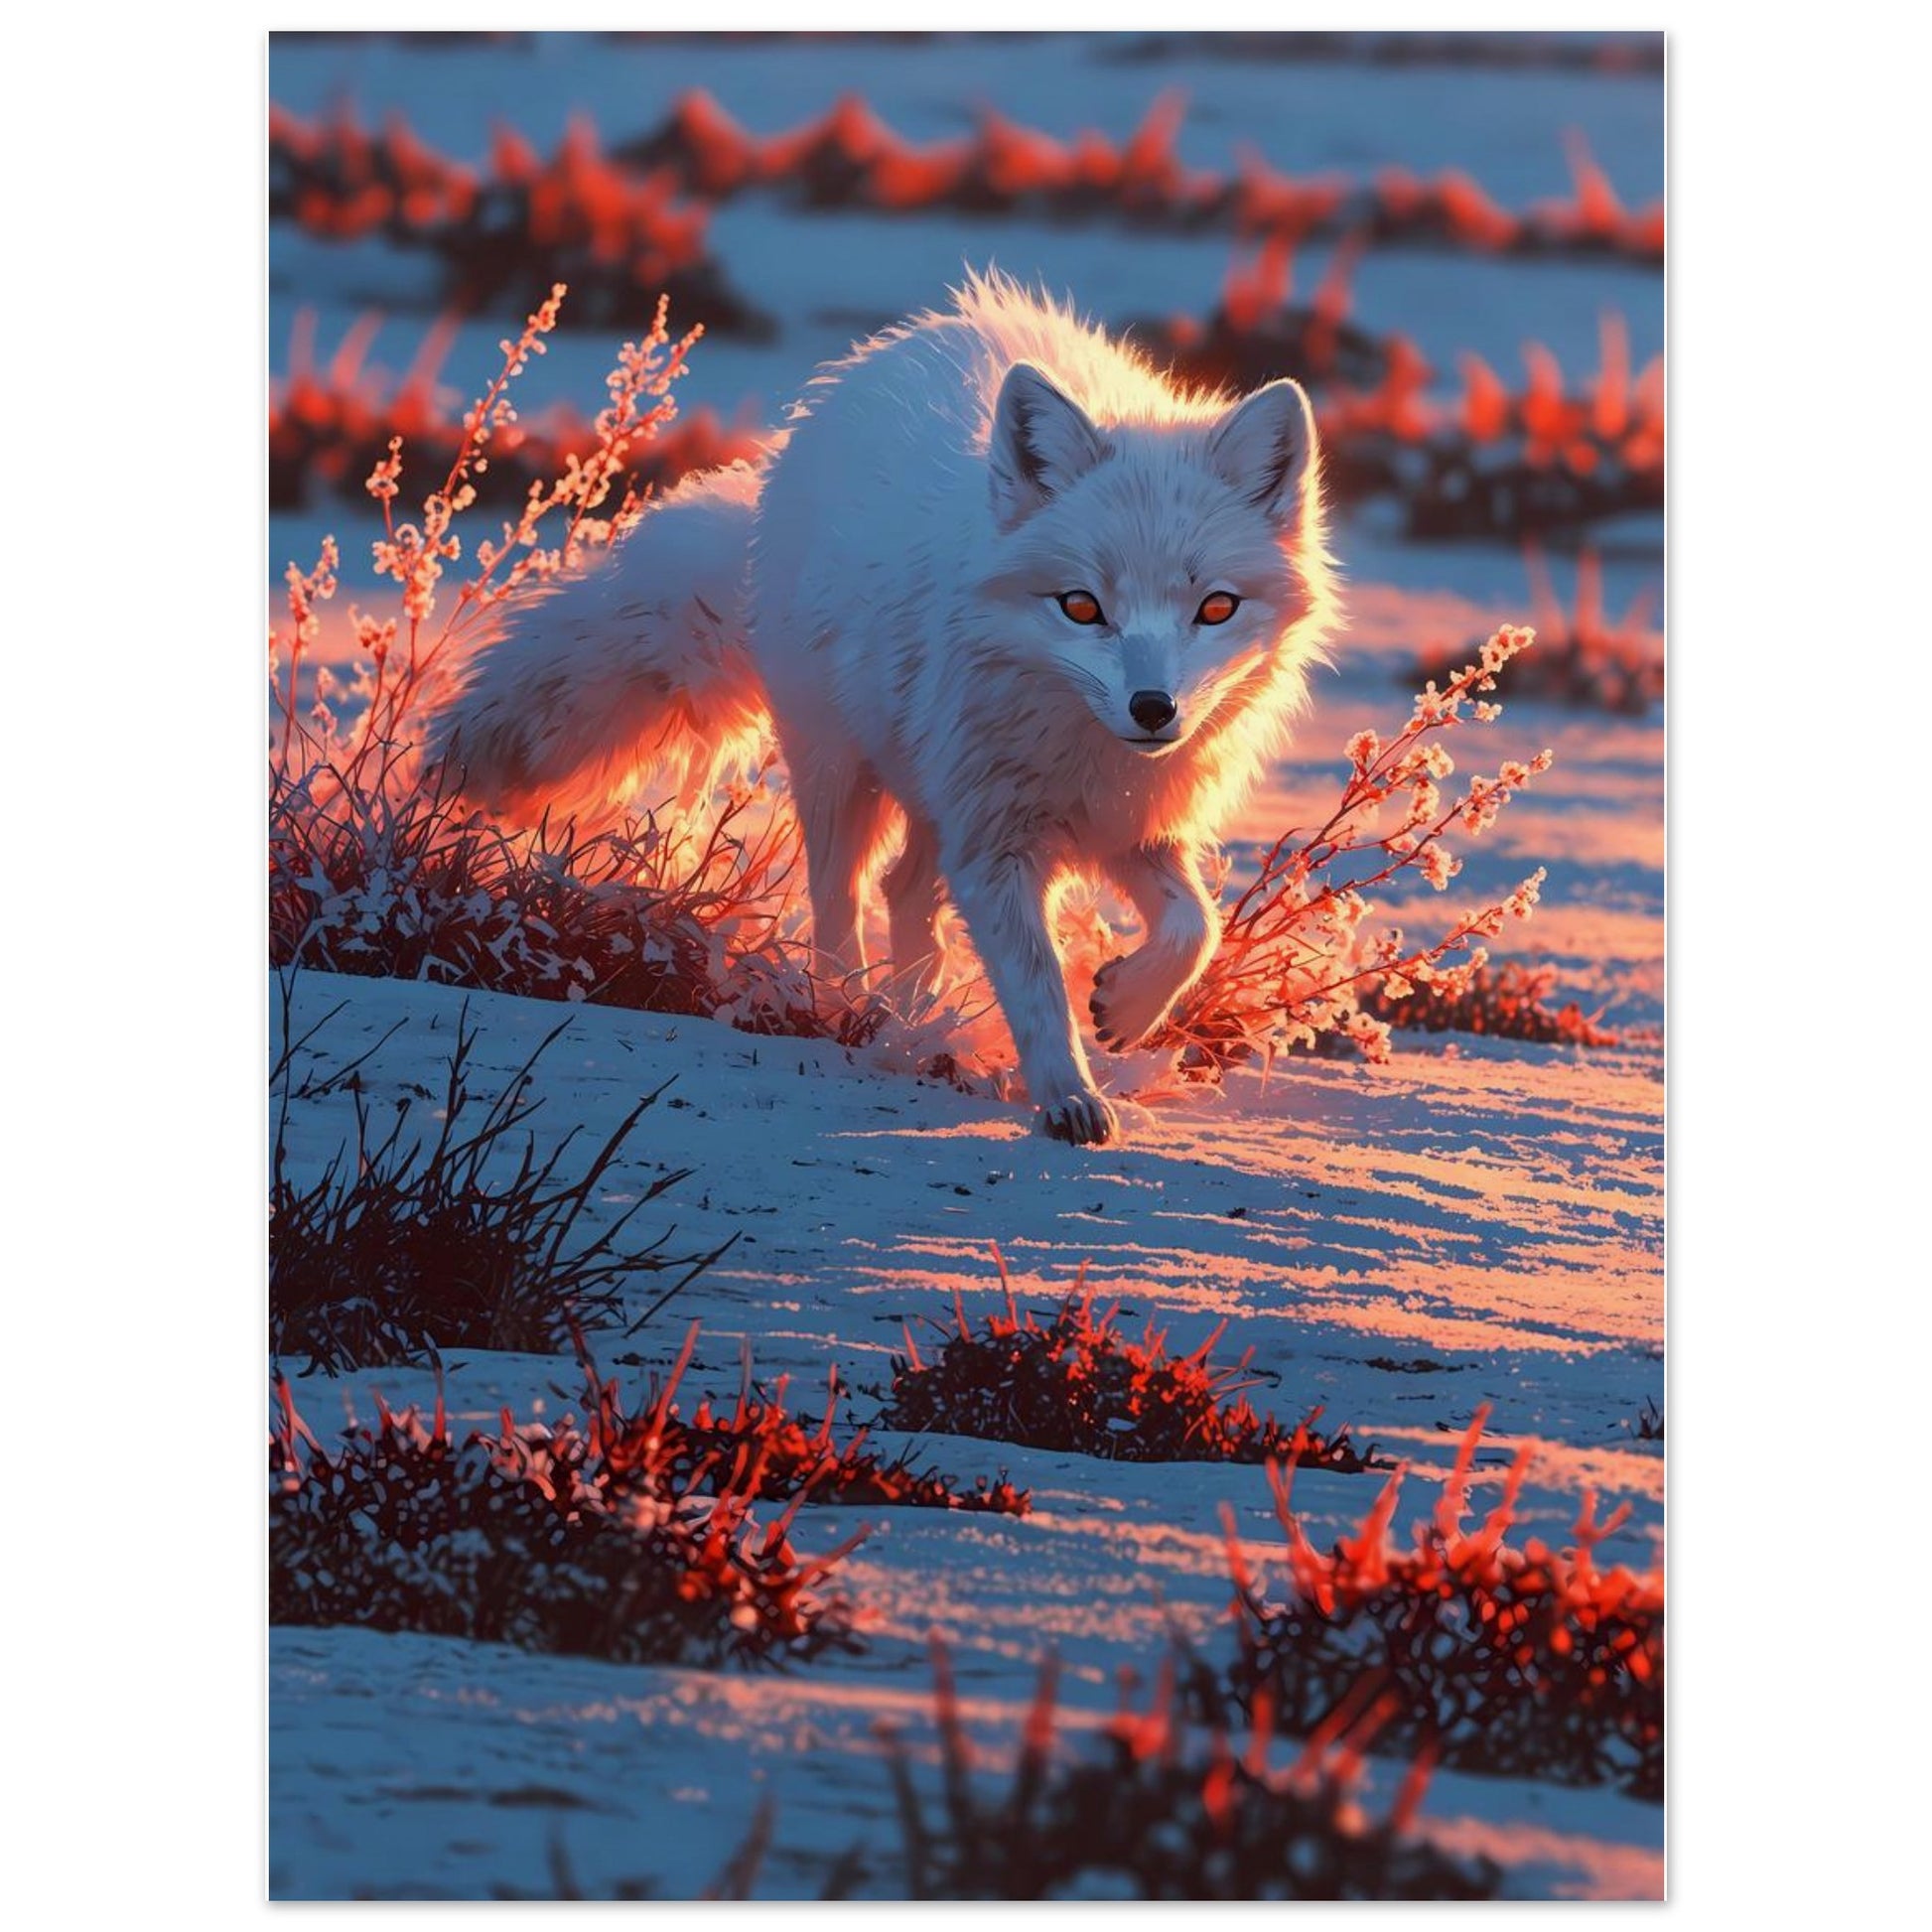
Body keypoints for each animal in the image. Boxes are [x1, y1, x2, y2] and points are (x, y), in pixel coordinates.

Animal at [430, 271, 1341, 1146]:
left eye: (1215, 608)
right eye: (1081, 607)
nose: (1153, 709)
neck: (1082, 749)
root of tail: (880, 358)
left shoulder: (1130, 823)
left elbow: (1196, 926)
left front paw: (1125, 1004)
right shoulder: (996, 844)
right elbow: (1038, 986)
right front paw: (1067, 1098)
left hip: (931, 792)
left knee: (906, 894)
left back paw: (920, 1019)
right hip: (843, 773)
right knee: (841, 899)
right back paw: (850, 1010)